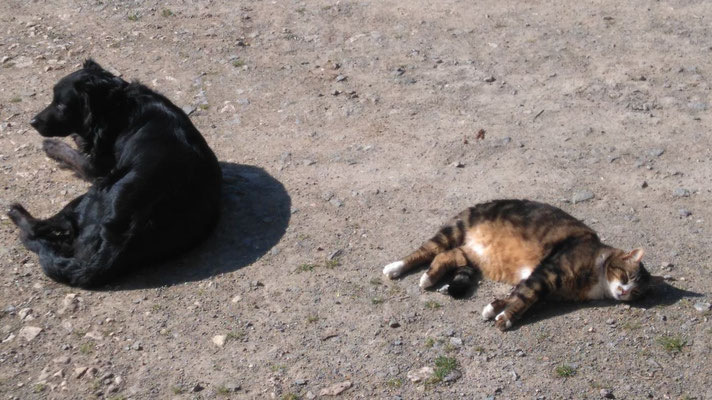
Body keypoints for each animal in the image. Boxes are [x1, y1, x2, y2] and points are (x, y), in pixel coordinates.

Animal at [6, 59, 221, 288]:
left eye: (61, 105)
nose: (32, 121)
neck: (120, 106)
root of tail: (122, 238)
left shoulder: (96, 168)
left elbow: (72, 153)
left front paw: (52, 145)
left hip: (89, 195)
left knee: (40, 228)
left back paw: (17, 214)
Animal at [382, 198, 660, 330]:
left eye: (636, 292)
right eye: (625, 276)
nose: (624, 292)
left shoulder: (541, 281)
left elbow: (516, 293)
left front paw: (494, 308)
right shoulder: (548, 274)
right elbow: (525, 298)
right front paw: (506, 319)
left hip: (471, 254)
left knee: (446, 256)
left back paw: (429, 276)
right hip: (454, 229)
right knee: (426, 251)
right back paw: (397, 268)